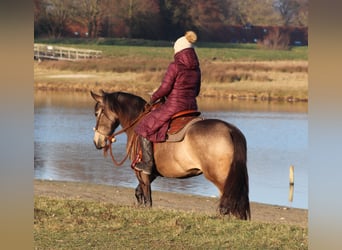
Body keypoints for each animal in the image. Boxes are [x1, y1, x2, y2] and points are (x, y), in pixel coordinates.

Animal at [90, 90, 251, 219]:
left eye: (97, 114)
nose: (97, 142)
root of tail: (230, 130)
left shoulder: (142, 173)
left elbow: (147, 199)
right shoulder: (153, 173)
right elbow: (138, 193)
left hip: (221, 178)